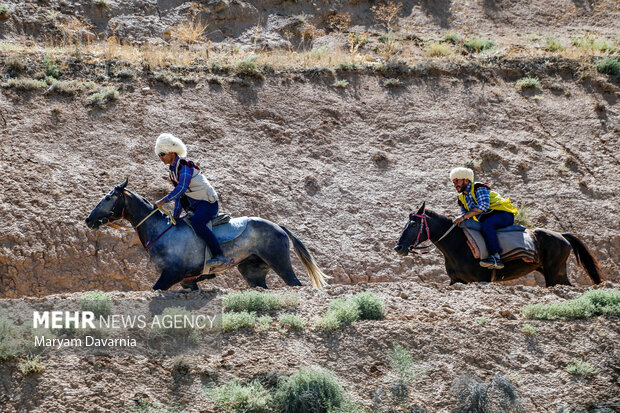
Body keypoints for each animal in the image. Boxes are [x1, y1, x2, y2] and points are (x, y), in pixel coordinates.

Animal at [86, 179, 332, 290]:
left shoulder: (170, 275)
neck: (162, 230)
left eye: (108, 198)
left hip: (280, 263)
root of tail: (278, 227)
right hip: (253, 273)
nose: (89, 220)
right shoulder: (187, 282)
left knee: (295, 284)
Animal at [394, 201, 604, 284]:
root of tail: (561, 235)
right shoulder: (457, 281)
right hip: (558, 273)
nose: (399, 247)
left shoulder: (483, 280)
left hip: (553, 273)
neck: (460, 246)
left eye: (414, 224)